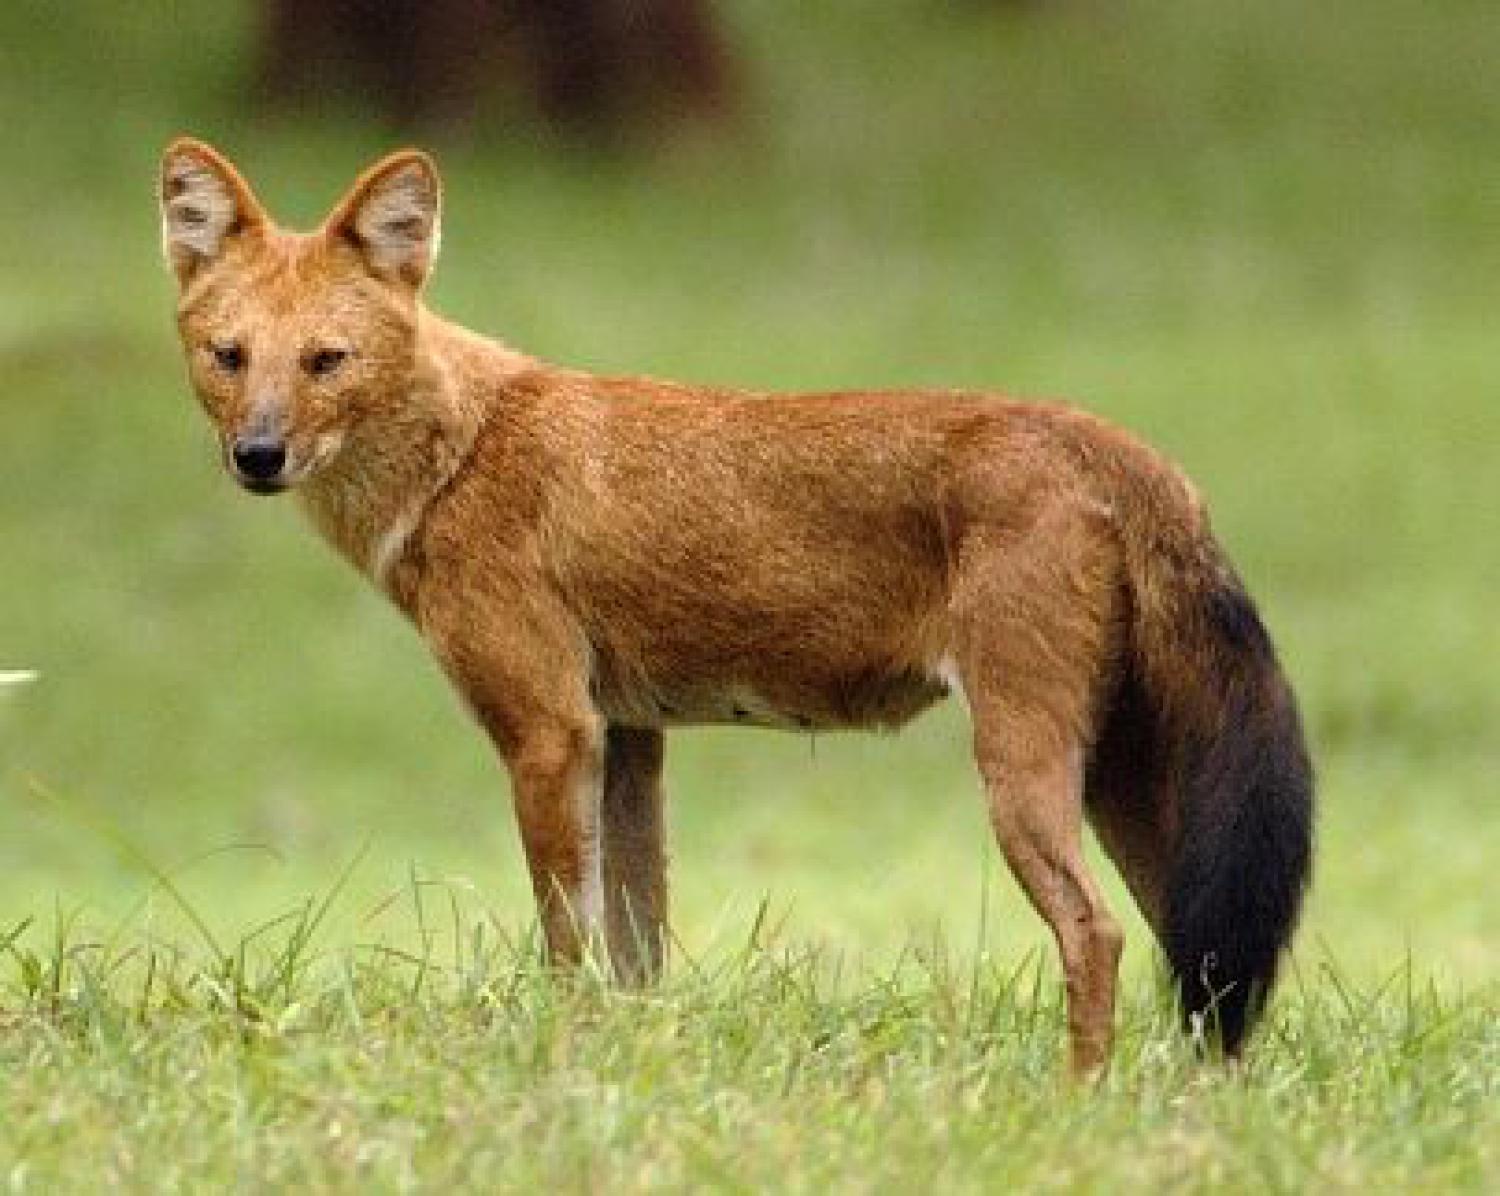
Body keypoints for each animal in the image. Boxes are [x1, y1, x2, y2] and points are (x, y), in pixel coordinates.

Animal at [158, 140, 1314, 1074]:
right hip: (1127, 782)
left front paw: (561, 1064)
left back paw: (1080, 1100)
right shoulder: (628, 735)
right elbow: (636, 952)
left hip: (1023, 765)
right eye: (228, 357)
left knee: (1099, 933)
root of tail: (1113, 442)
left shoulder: (550, 730)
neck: (460, 453)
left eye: (326, 361)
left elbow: (567, 945)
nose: (257, 455)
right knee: (1206, 953)